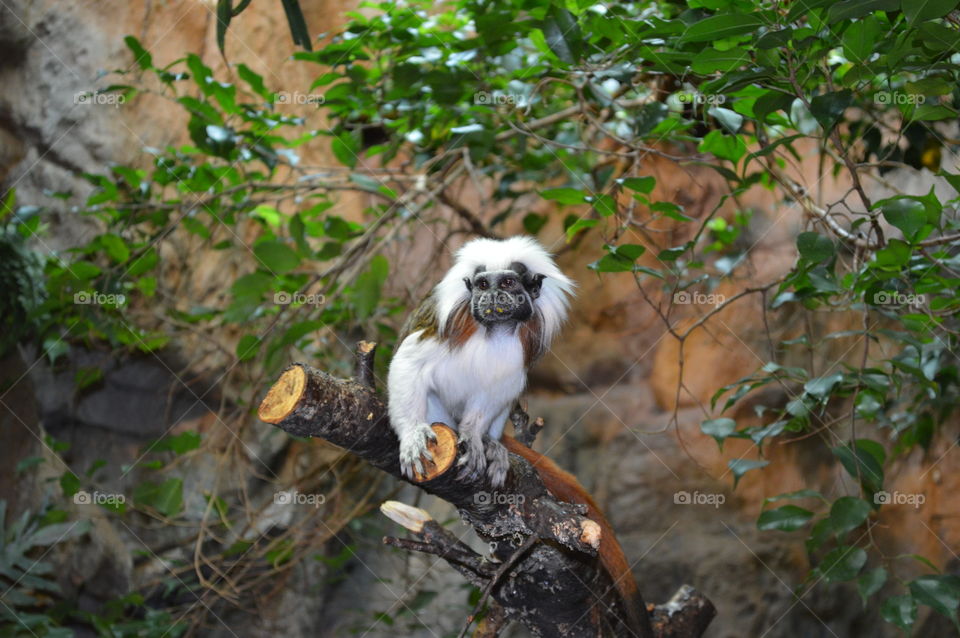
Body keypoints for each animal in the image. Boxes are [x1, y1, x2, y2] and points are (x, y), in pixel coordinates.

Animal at [387, 236, 650, 636]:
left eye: (509, 284)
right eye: (482, 285)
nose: (493, 296)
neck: (491, 330)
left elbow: (497, 387)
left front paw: (477, 440)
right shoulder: (449, 326)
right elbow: (409, 363)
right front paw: (414, 435)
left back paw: (493, 446)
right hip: (439, 411)